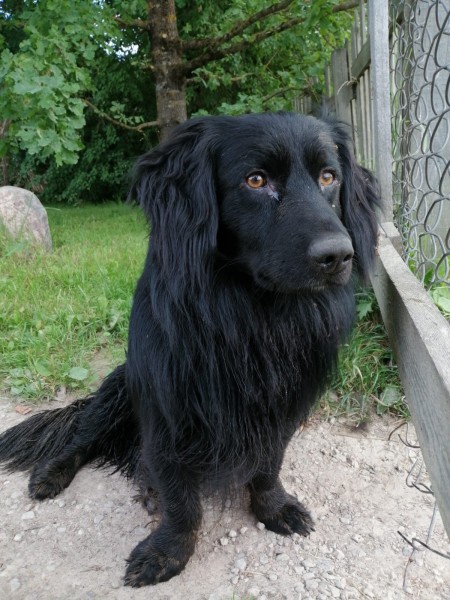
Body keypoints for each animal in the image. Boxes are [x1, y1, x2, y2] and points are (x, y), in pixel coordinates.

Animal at [0, 112, 379, 586]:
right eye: (256, 180)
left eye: (329, 176)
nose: (339, 256)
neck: (253, 315)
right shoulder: (166, 414)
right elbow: (181, 499)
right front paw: (168, 552)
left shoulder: (282, 407)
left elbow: (268, 464)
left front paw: (274, 507)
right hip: (117, 391)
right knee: (80, 438)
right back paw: (53, 473)